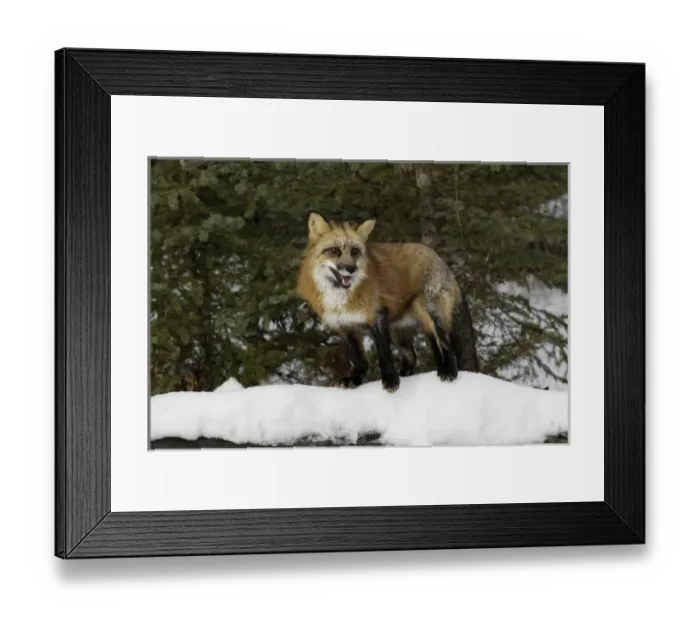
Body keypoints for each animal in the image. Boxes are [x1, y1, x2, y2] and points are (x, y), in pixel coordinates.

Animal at [296, 212, 479, 393]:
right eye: (334, 250)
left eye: (355, 251)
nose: (351, 269)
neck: (340, 297)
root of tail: (439, 259)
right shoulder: (344, 326)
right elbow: (359, 360)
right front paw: (354, 380)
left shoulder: (378, 316)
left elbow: (384, 354)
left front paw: (390, 380)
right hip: (401, 334)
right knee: (412, 358)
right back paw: (408, 375)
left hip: (431, 315)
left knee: (446, 346)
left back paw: (448, 371)